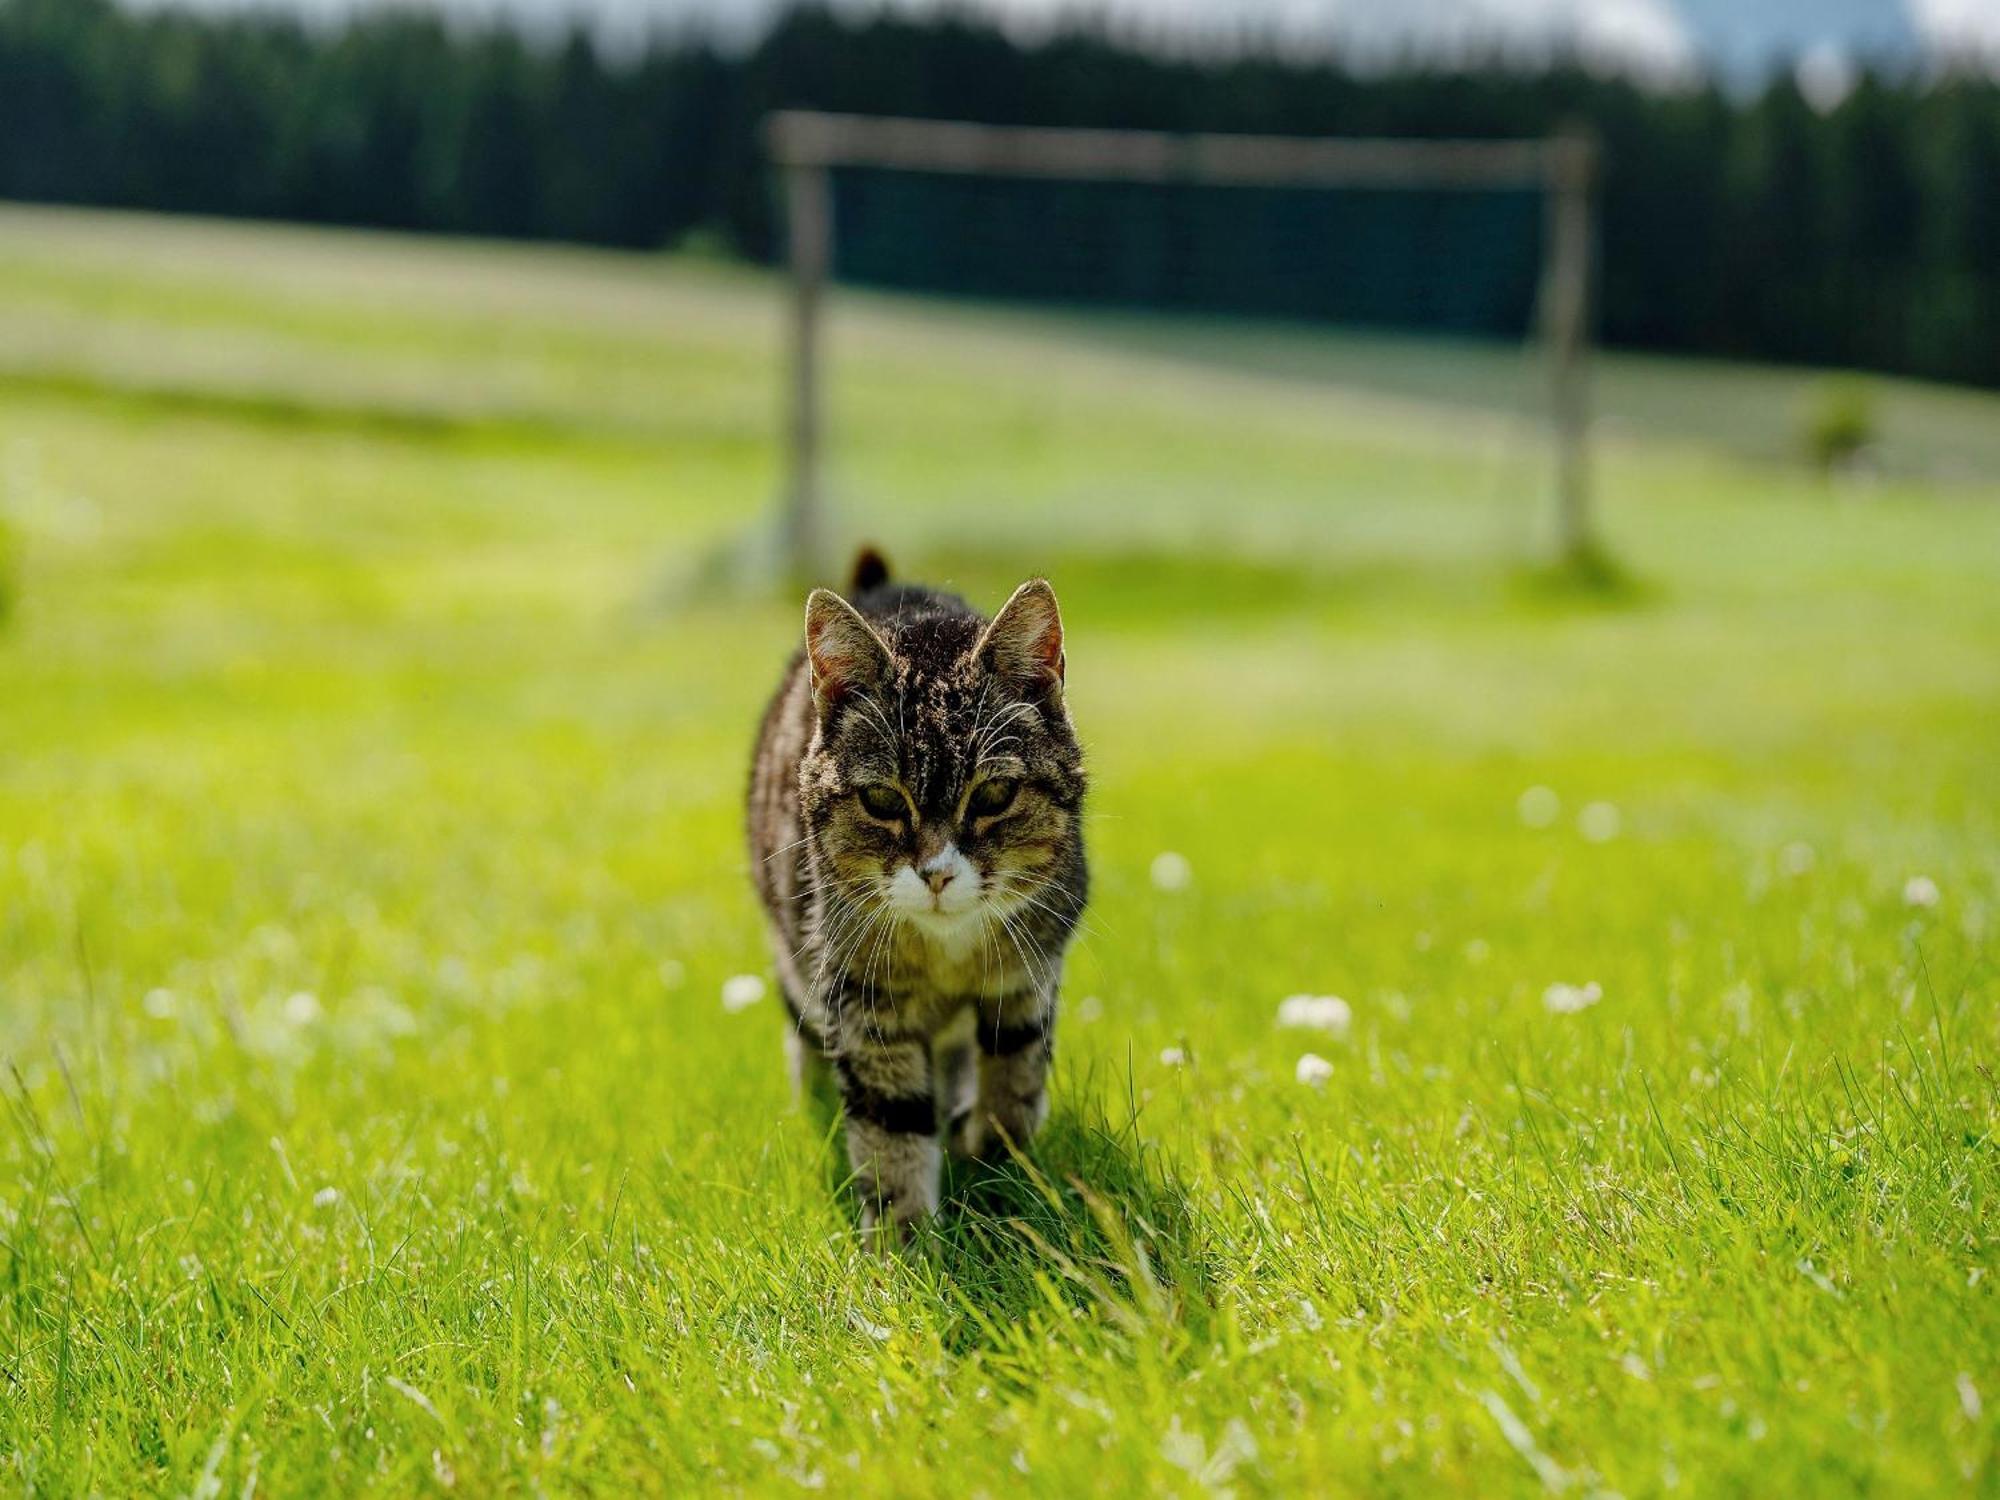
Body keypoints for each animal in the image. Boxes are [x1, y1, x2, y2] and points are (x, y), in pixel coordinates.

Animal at [752, 560, 1096, 1240]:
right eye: (883, 800)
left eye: (993, 794)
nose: (936, 873)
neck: (948, 950)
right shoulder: (864, 1000)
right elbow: (891, 1128)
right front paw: (904, 1244)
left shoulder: (1029, 975)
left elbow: (1014, 1092)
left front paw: (986, 1156)